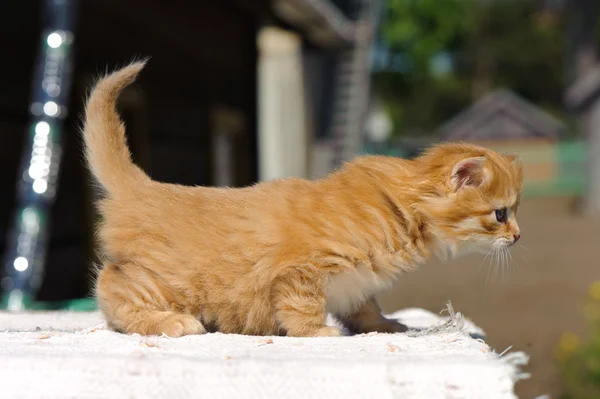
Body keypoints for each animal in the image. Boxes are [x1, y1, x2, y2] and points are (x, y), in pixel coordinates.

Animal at [82, 61, 524, 340]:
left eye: (512, 213)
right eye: (500, 214)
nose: (519, 237)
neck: (397, 207)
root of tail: (142, 186)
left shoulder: (356, 283)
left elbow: (365, 308)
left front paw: (387, 326)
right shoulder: (301, 270)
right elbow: (302, 307)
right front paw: (319, 331)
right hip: (162, 280)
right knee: (111, 290)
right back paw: (173, 323)